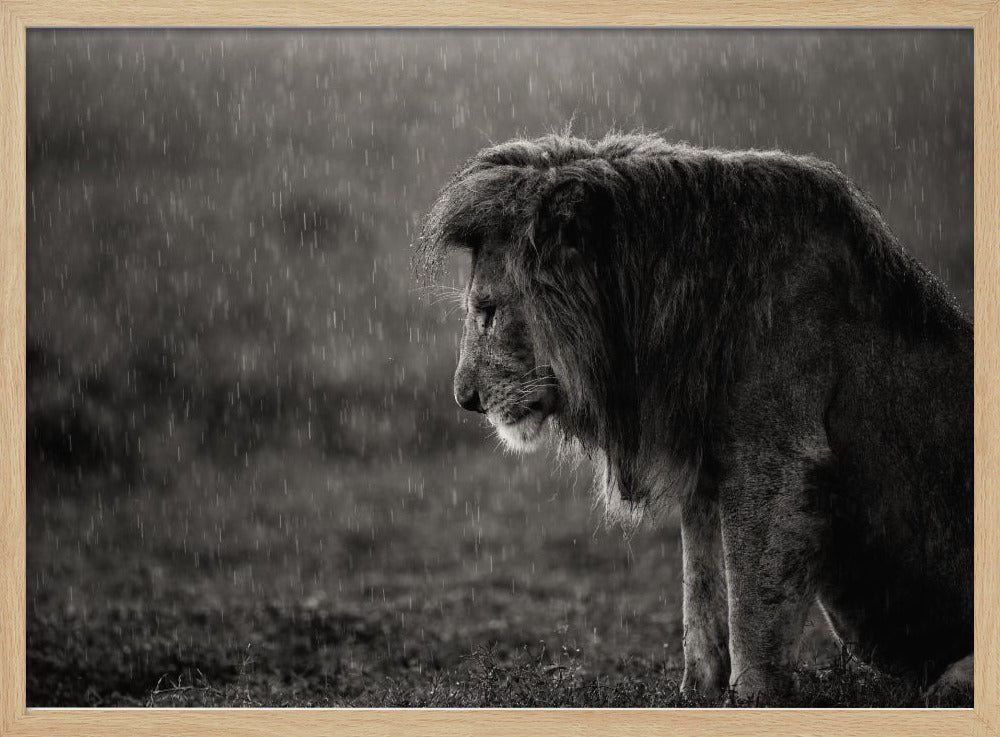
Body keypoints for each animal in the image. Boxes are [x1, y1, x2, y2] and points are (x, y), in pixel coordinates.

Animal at [417, 133, 973, 704]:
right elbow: (701, 589)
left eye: (487, 311)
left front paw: (754, 697)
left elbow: (752, 605)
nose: (465, 399)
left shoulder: (776, 462)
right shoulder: (704, 463)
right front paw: (695, 693)